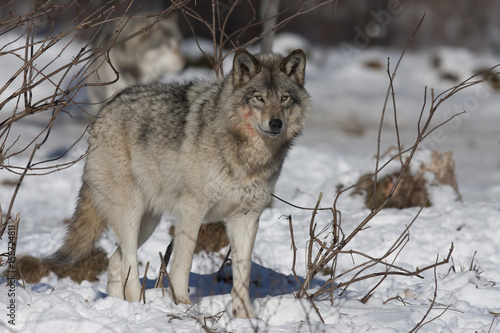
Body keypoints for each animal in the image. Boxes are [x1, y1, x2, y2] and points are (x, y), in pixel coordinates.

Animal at [49, 48, 308, 316]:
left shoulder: (247, 217)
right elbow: (182, 263)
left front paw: (245, 316)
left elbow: (242, 274)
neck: (247, 156)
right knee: (129, 261)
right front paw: (183, 304)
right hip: (130, 214)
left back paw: (120, 306)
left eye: (285, 98)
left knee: (115, 261)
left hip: (148, 223)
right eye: (259, 98)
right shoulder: (193, 209)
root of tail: (105, 110)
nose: (276, 123)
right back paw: (138, 305)